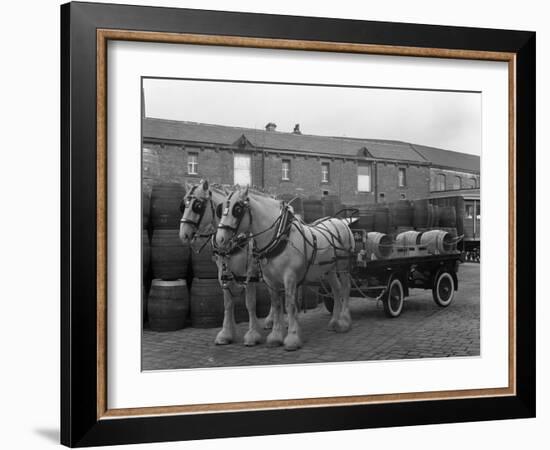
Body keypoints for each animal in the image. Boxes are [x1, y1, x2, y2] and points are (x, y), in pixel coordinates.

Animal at [179, 181, 272, 346]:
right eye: (184, 205)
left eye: (198, 205)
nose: (183, 234)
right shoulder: (223, 273)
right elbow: (228, 303)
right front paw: (227, 333)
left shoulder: (250, 274)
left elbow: (250, 303)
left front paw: (252, 334)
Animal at [213, 186, 356, 352]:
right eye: (220, 209)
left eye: (237, 209)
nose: (220, 239)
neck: (279, 237)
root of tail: (340, 222)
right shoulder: (270, 280)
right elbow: (276, 305)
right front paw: (276, 336)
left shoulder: (289, 277)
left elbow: (290, 304)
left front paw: (292, 338)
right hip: (329, 270)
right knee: (336, 289)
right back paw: (334, 321)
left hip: (343, 266)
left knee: (345, 288)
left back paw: (344, 321)